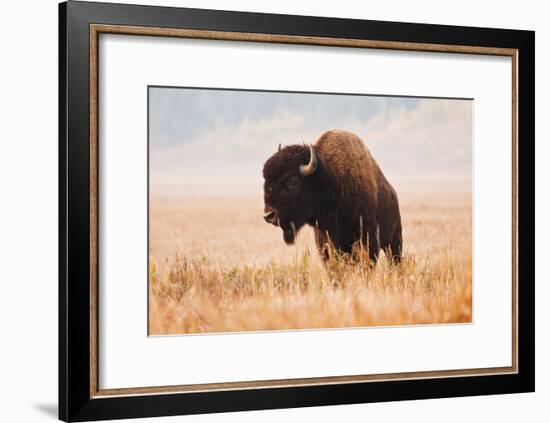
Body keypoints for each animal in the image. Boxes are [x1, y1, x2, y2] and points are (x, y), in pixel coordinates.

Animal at [260, 128, 404, 264]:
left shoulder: (368, 240)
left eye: (293, 181)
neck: (333, 180)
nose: (269, 215)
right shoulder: (325, 244)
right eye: (266, 181)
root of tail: (393, 193)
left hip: (394, 241)